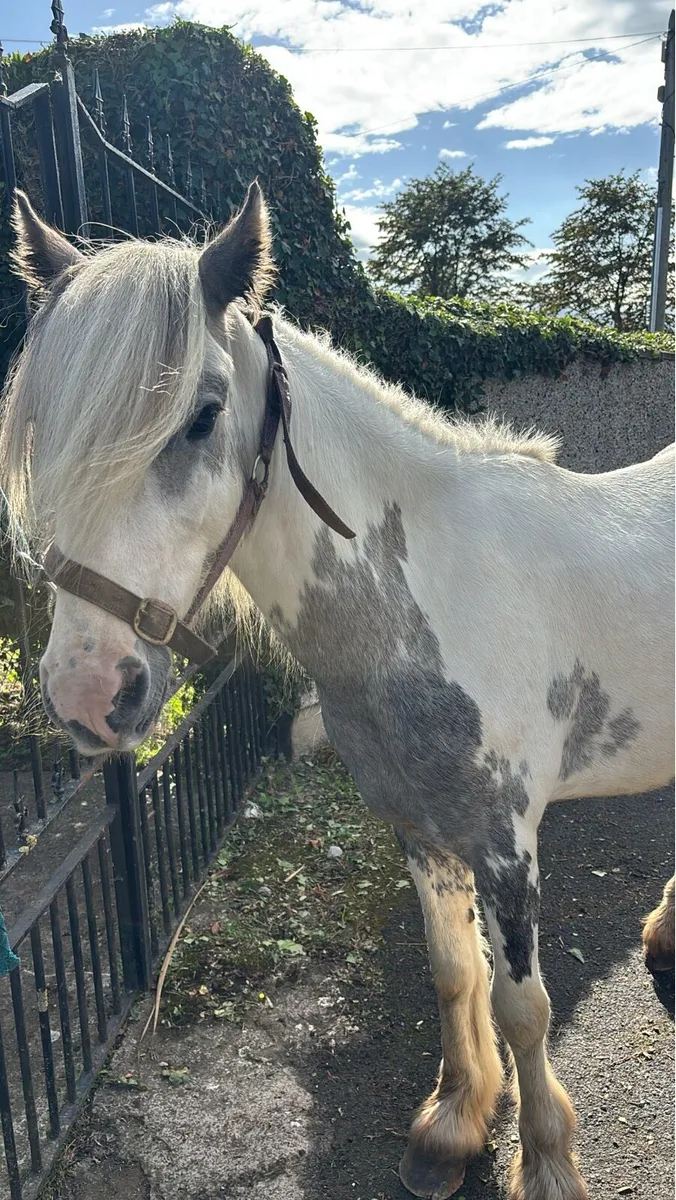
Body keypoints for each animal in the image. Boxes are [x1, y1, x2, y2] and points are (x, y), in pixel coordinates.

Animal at [1, 186, 673, 1200]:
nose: (89, 691)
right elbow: (453, 972)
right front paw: (453, 1126)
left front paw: (548, 1164)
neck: (429, 589)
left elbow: (525, 1006)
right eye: (43, 424)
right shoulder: (421, 828)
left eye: (202, 416)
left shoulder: (506, 841)